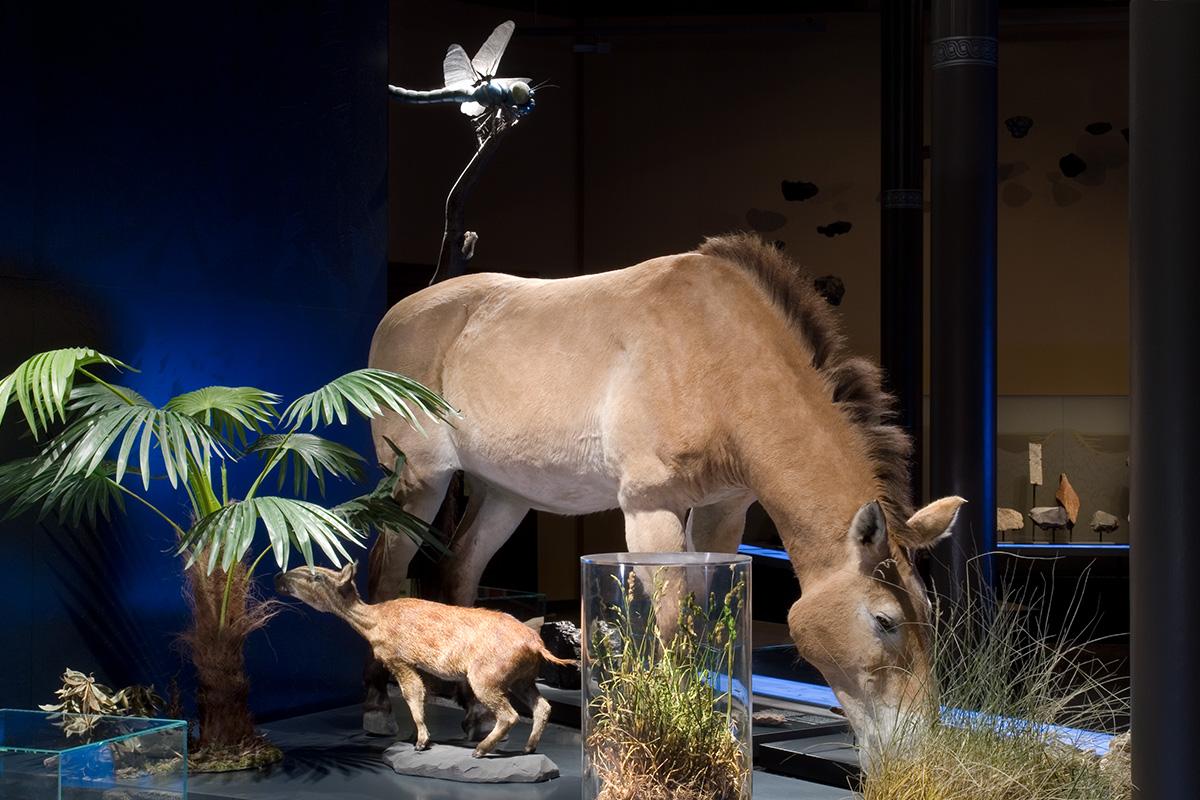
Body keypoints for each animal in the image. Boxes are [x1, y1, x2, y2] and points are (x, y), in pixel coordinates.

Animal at [364, 235, 964, 762]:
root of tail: (398, 314)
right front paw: (660, 730)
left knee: (459, 570)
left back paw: (475, 712)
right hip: (420, 481)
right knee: (386, 575)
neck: (718, 360)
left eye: (930, 615)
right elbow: (671, 623)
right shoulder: (650, 510)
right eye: (884, 620)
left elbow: (706, 617)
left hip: (503, 494)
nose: (919, 749)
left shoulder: (723, 511)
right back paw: (378, 708)